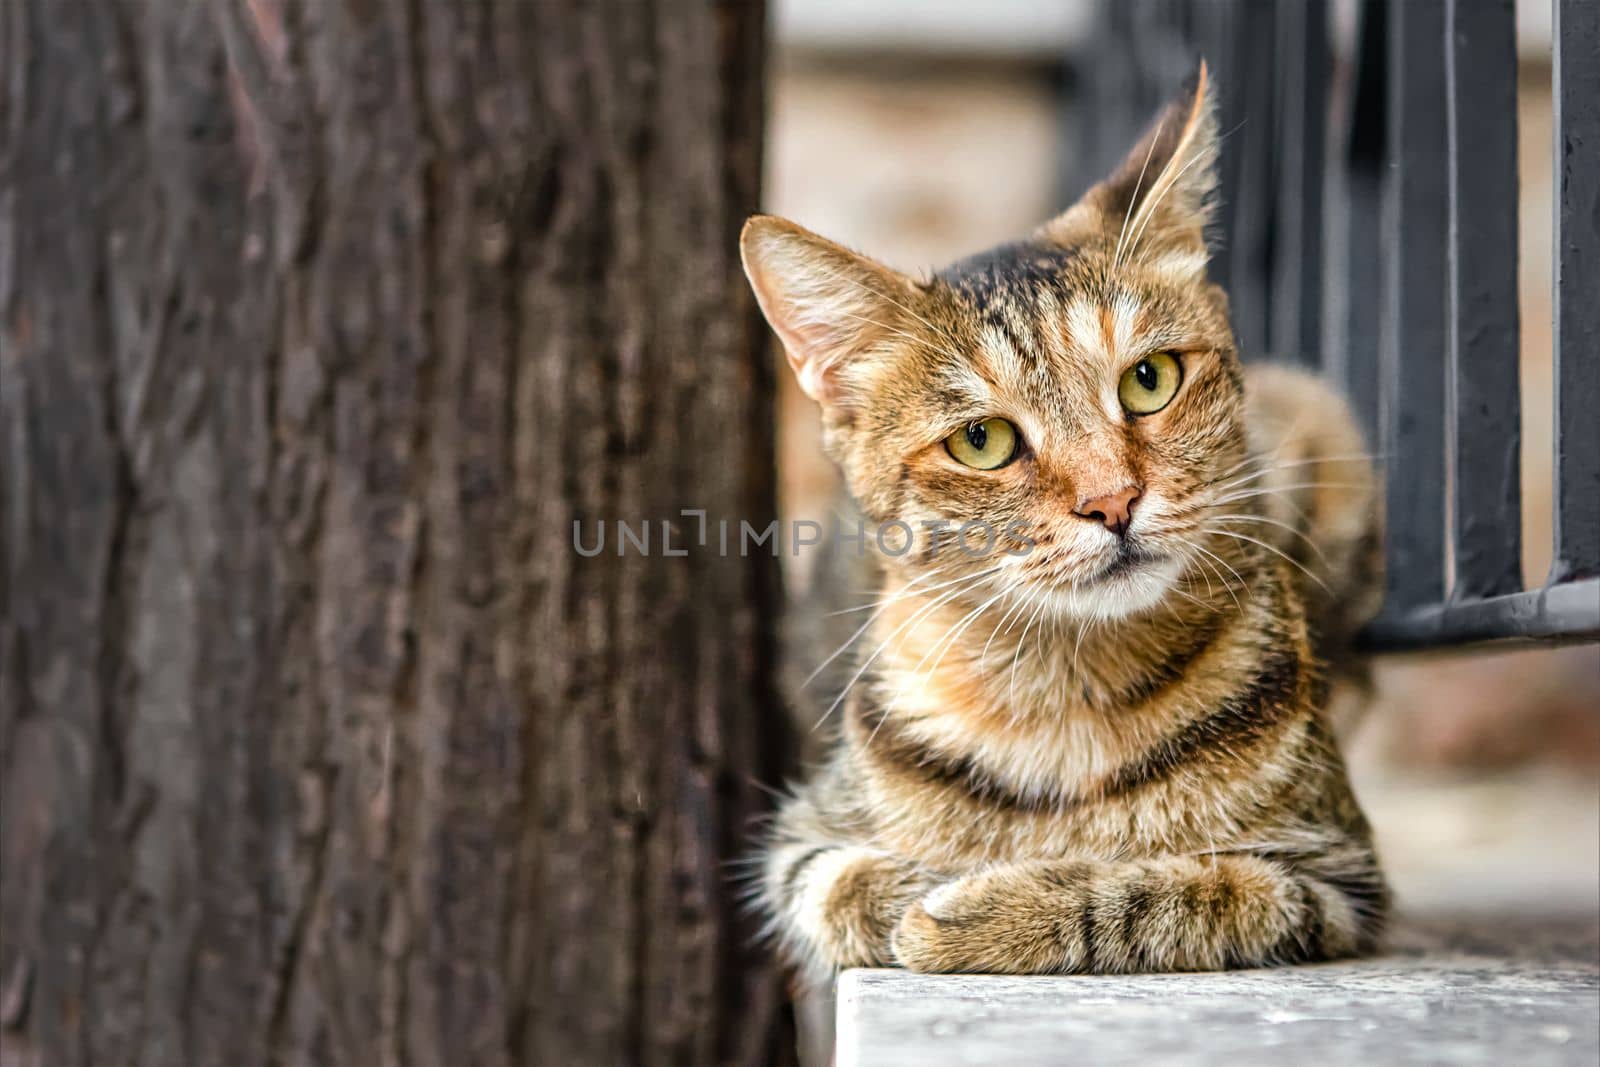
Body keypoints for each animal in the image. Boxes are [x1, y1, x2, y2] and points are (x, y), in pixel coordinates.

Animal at [739, 62, 1388, 991]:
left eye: (1150, 379)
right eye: (981, 440)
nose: (1113, 500)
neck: (1070, 689)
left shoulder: (1331, 880)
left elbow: (1163, 891)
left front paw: (989, 908)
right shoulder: (801, 844)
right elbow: (845, 885)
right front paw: (926, 888)